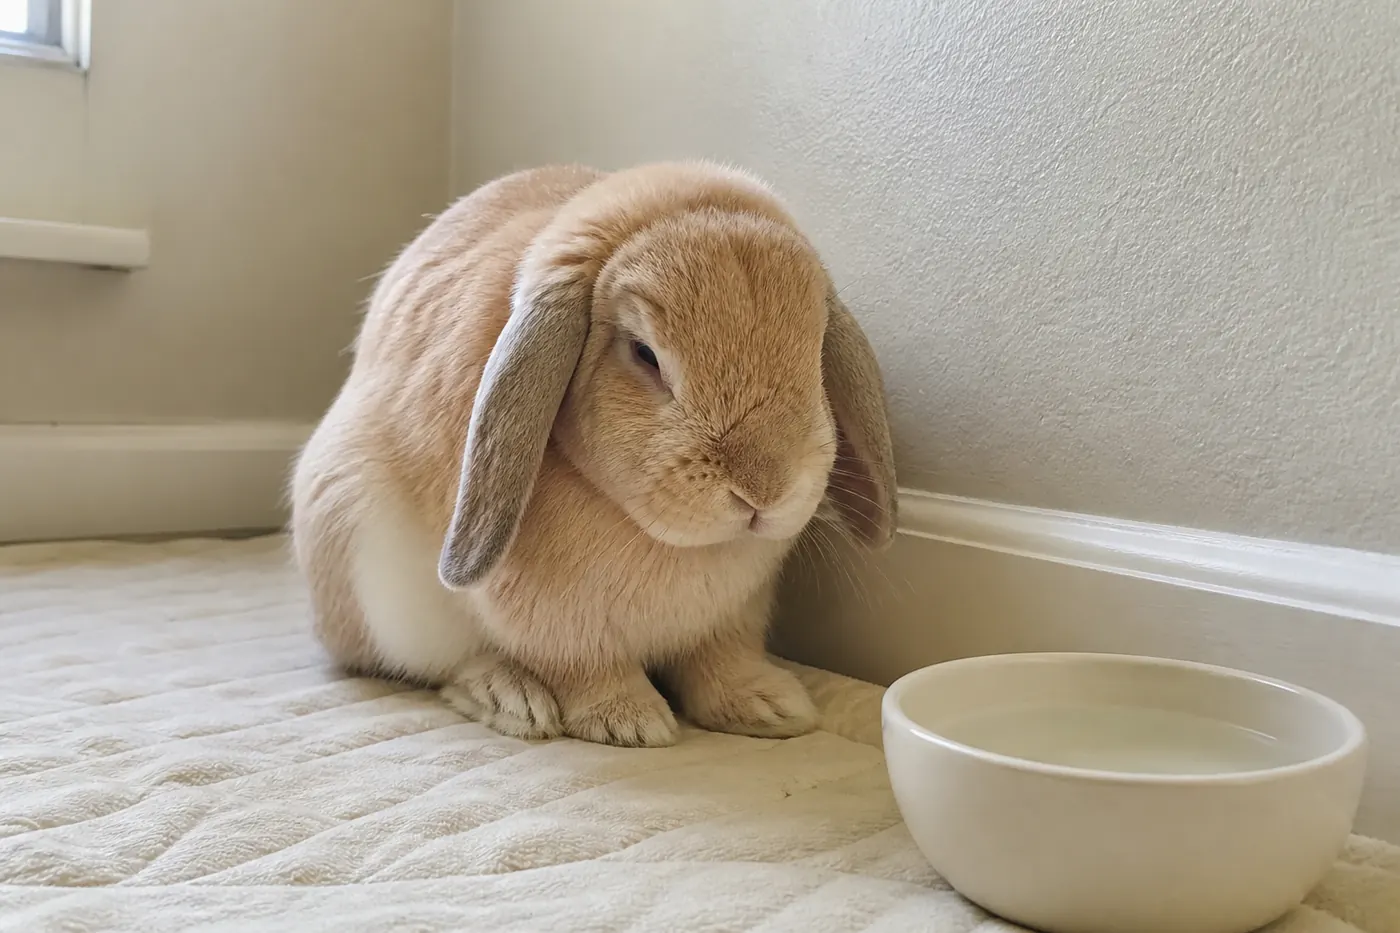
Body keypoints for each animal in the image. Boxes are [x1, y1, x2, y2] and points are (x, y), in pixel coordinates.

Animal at [289, 161, 896, 748]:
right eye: (645, 354)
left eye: (815, 351)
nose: (763, 489)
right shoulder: (559, 627)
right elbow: (587, 669)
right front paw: (627, 721)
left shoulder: (732, 618)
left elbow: (722, 661)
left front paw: (769, 707)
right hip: (373, 574)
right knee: (440, 666)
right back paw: (512, 700)